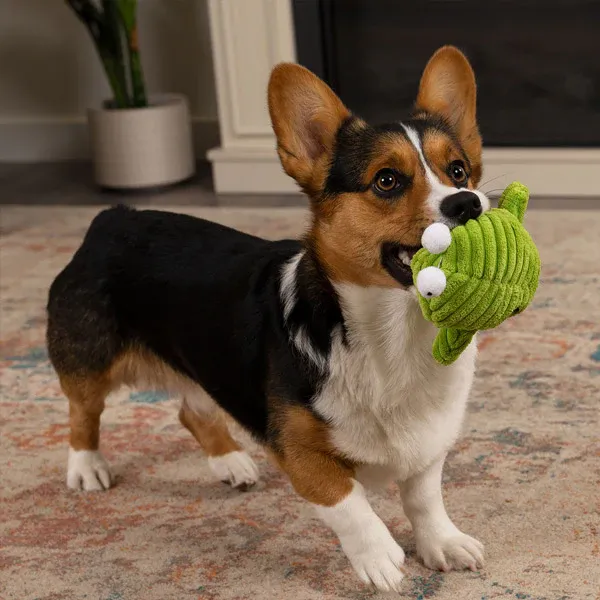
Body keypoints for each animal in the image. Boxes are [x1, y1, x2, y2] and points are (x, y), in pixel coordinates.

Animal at [47, 45, 488, 592]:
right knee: (82, 413)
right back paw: (87, 467)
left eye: (459, 170)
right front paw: (380, 557)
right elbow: (346, 500)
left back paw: (231, 461)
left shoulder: (430, 444)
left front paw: (443, 543)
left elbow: (425, 498)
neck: (396, 337)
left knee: (192, 410)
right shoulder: (297, 451)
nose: (468, 204)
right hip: (88, 362)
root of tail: (111, 218)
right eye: (387, 180)